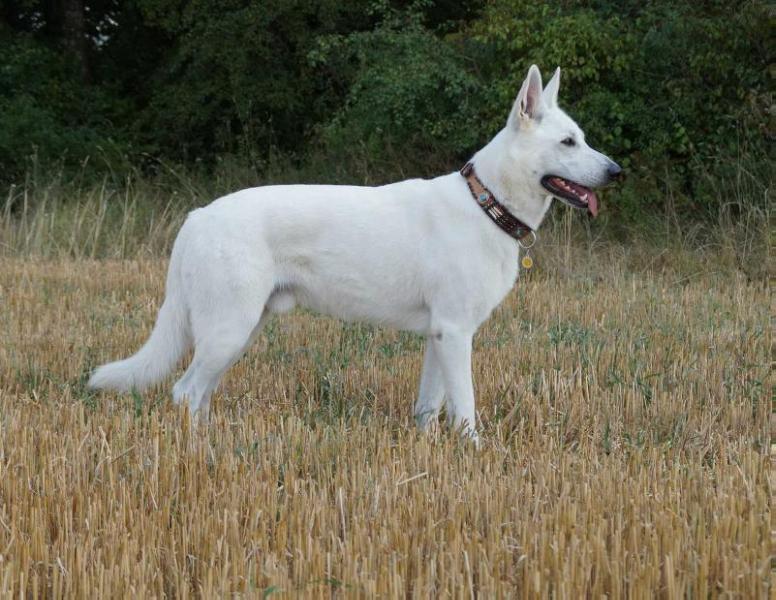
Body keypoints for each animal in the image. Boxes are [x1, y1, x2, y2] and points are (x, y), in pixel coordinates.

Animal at [88, 65, 620, 440]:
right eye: (568, 142)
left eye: (583, 138)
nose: (616, 172)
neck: (485, 202)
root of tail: (198, 216)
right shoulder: (455, 333)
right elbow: (465, 410)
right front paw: (474, 454)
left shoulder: (440, 336)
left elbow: (429, 408)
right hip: (229, 331)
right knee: (184, 393)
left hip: (238, 332)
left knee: (198, 396)